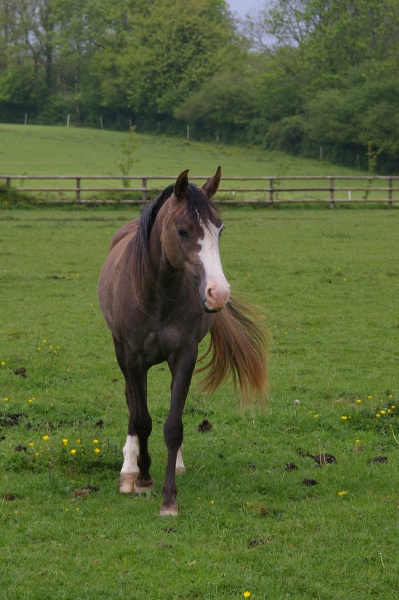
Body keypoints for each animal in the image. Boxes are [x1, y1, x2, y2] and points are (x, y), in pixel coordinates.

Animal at [98, 168, 270, 516]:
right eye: (182, 231)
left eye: (220, 229)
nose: (218, 293)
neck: (157, 294)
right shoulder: (134, 358)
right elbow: (142, 419)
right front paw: (143, 478)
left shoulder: (185, 356)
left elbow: (173, 426)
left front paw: (169, 498)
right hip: (121, 353)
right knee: (132, 402)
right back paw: (129, 470)